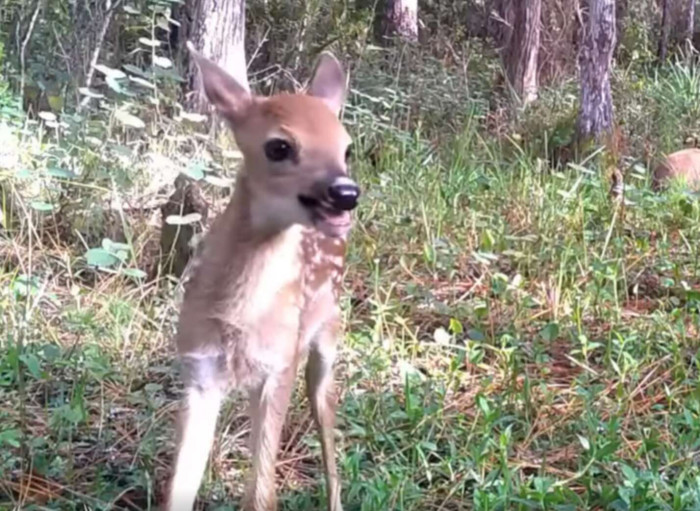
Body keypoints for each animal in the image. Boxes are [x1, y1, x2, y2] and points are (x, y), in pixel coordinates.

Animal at [164, 44, 358, 511]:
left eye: (347, 148)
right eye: (279, 146)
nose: (346, 192)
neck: (240, 315)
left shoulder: (279, 365)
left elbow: (261, 494)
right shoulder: (199, 370)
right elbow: (179, 487)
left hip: (327, 338)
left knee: (328, 425)